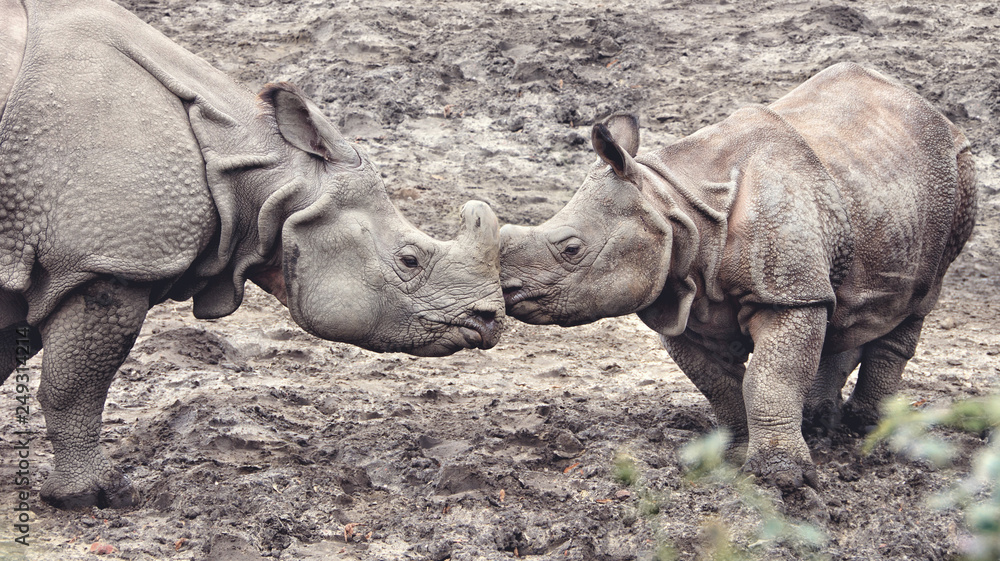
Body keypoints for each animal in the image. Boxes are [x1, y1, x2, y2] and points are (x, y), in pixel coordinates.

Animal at [0, 0, 505, 509]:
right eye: (409, 260)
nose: (490, 321)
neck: (255, 162)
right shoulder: (106, 262)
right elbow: (75, 387)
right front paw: (95, 497)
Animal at [499, 62, 977, 489]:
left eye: (572, 249)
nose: (508, 289)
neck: (674, 207)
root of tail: (930, 109)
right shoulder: (681, 299)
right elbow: (719, 384)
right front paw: (736, 454)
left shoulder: (786, 292)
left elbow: (769, 377)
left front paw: (782, 477)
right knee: (841, 304)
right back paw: (820, 423)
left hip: (958, 176)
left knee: (920, 298)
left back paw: (869, 432)